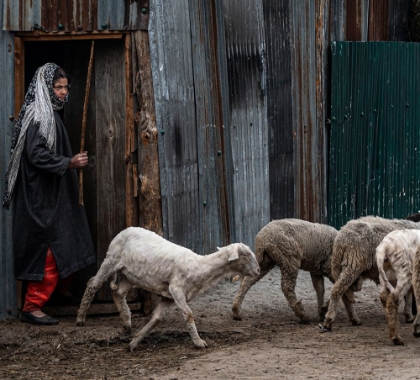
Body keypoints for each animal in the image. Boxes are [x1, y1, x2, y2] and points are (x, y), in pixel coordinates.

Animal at [75, 226, 260, 350]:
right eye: (246, 255)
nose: (258, 270)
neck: (200, 268)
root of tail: (126, 229)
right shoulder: (176, 289)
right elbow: (188, 315)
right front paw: (199, 342)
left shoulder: (168, 297)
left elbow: (156, 319)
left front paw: (134, 342)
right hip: (111, 259)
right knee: (93, 284)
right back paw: (80, 319)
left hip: (130, 275)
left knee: (118, 292)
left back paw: (126, 321)